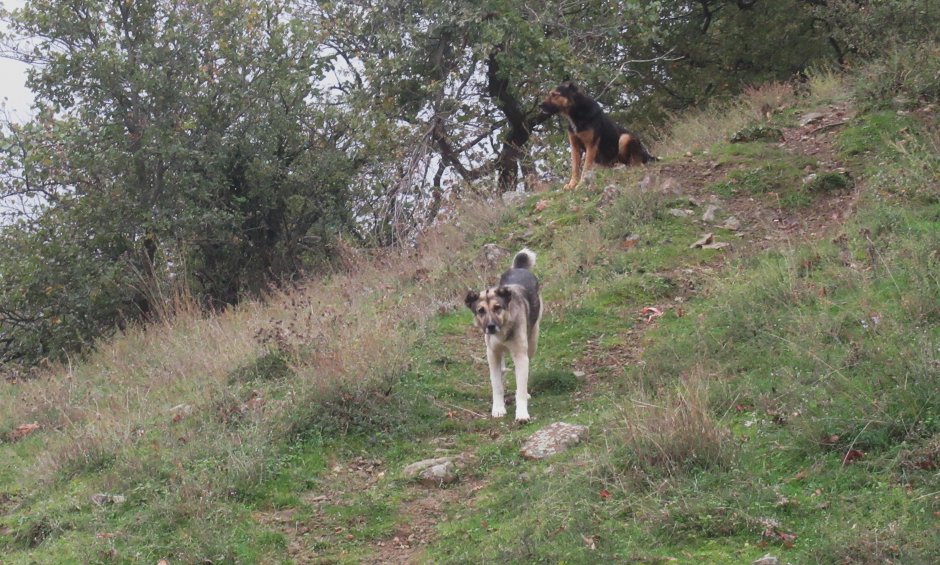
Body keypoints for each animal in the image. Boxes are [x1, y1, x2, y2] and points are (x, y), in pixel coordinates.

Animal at [464, 249, 544, 420]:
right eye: (480, 311)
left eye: (497, 308)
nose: (490, 326)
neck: (503, 329)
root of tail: (519, 268)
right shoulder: (492, 353)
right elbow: (496, 385)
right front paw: (498, 408)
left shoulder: (520, 355)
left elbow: (521, 387)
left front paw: (522, 414)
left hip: (533, 340)